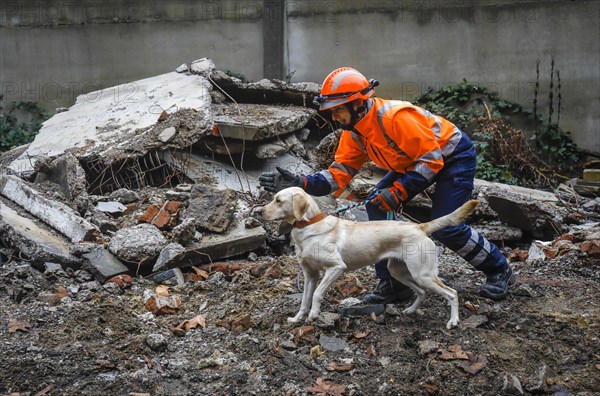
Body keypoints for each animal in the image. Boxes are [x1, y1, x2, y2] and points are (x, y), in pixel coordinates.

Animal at [262, 187, 478, 330]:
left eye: (278, 200)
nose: (258, 211)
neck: (308, 226)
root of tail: (419, 226)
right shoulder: (310, 275)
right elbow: (304, 299)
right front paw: (297, 319)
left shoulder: (336, 268)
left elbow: (316, 295)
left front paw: (314, 315)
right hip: (400, 272)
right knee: (422, 292)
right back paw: (410, 311)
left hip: (422, 274)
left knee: (452, 293)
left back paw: (453, 321)